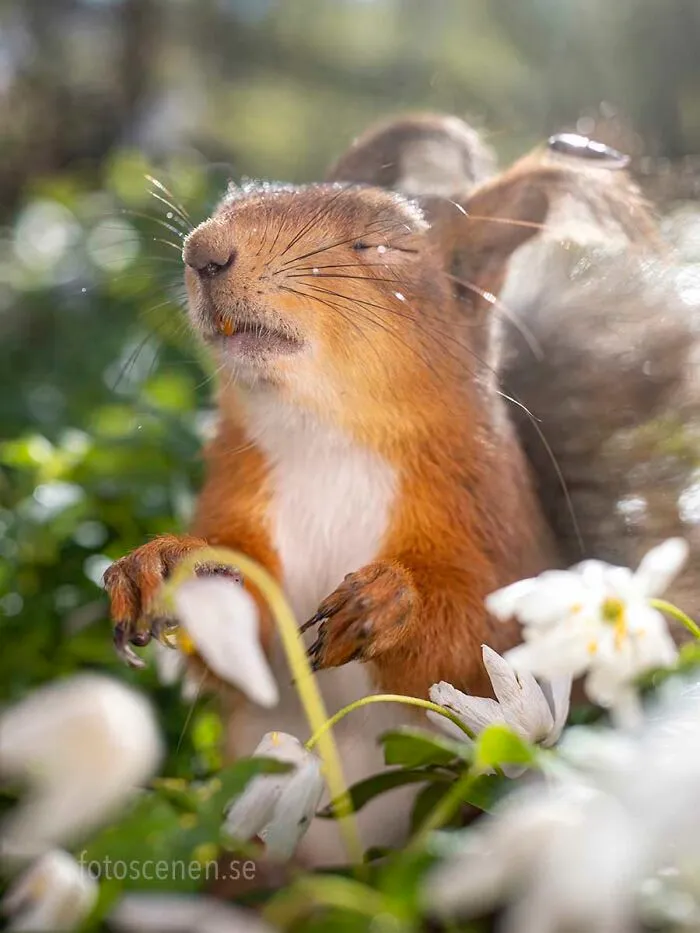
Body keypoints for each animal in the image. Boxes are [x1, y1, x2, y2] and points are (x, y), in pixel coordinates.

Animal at [104, 113, 699, 857]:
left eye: (378, 245)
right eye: (234, 198)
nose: (203, 251)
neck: (326, 437)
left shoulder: (491, 521)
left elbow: (478, 638)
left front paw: (388, 601)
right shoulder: (237, 498)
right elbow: (241, 644)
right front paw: (162, 564)